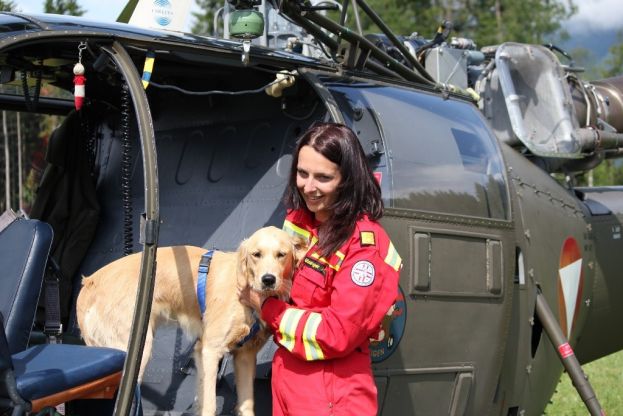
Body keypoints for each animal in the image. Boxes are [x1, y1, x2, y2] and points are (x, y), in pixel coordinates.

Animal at [75, 228, 304, 416]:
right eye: (256, 255)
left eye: (281, 254)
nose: (268, 280)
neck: (244, 287)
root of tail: (89, 283)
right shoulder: (209, 351)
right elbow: (209, 405)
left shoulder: (245, 356)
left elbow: (246, 406)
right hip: (134, 354)